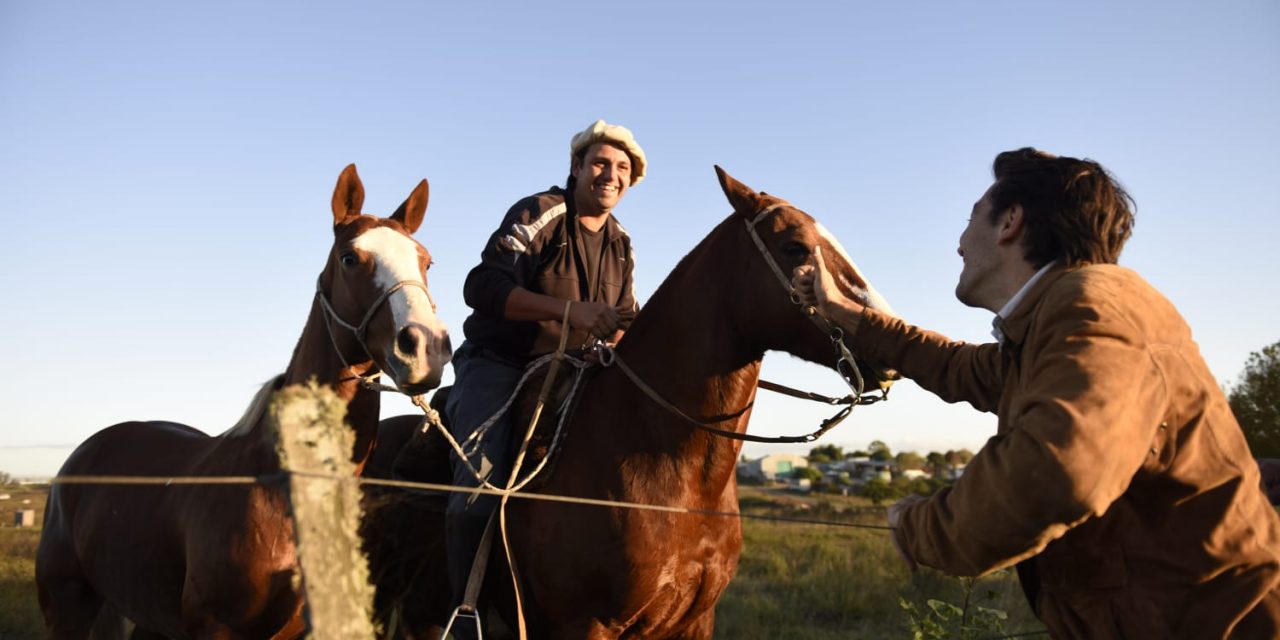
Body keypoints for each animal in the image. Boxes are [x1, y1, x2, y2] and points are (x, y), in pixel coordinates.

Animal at [36, 166, 450, 640]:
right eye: (350, 258)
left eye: (425, 261)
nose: (426, 346)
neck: (280, 486)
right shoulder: (215, 627)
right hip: (67, 608)